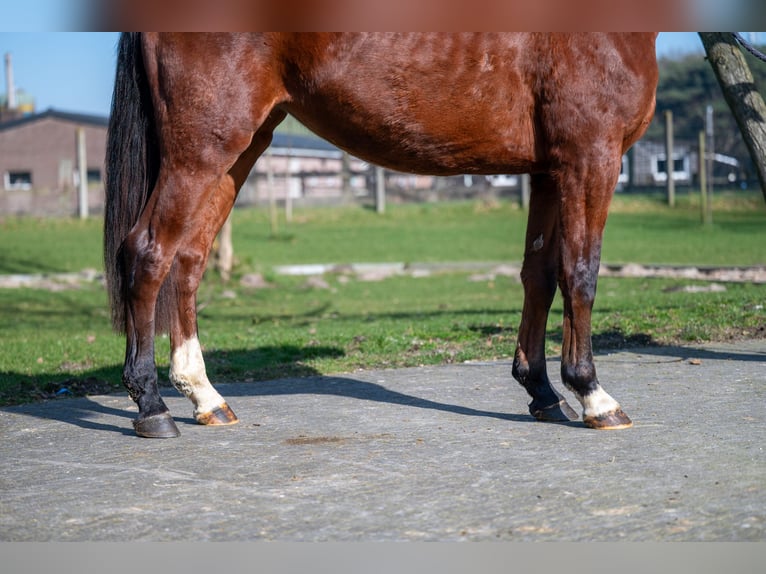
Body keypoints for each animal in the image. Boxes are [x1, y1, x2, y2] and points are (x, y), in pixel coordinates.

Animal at [103, 33, 660, 438]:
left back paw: (205, 398)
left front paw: (542, 392)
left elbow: (539, 275)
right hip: (202, 149)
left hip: (237, 149)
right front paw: (593, 396)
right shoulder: (589, 158)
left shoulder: (548, 171)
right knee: (148, 253)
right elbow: (580, 273)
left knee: (188, 260)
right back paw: (152, 406)